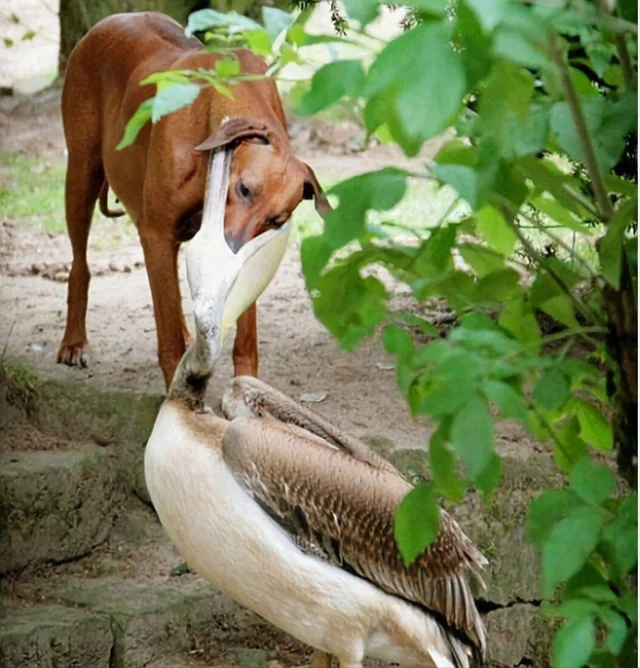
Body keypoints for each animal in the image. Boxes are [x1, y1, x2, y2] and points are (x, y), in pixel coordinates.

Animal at [57, 10, 328, 388]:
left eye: (275, 220)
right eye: (243, 189)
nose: (231, 248)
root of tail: (112, 19)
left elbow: (245, 333)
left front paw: (245, 386)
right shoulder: (156, 234)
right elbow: (167, 334)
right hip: (81, 176)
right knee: (80, 265)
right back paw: (74, 341)